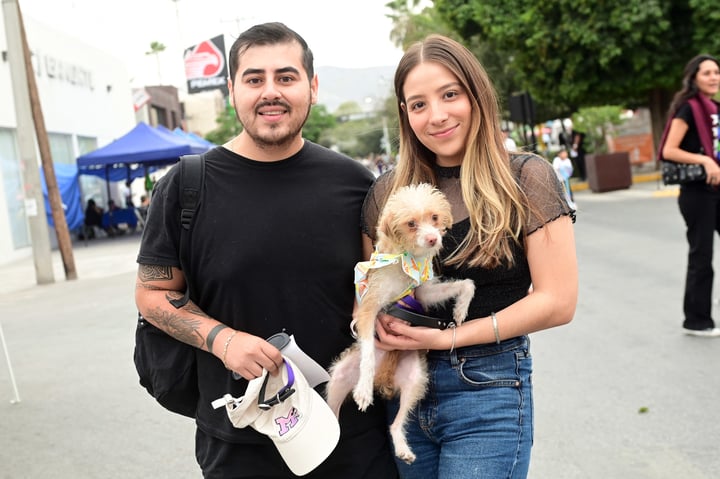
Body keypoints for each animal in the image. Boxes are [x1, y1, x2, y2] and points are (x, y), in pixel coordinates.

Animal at [324, 184, 472, 464]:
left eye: (434, 217)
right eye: (411, 223)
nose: (433, 239)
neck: (405, 260)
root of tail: (385, 375)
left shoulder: (422, 294)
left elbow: (466, 283)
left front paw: (460, 309)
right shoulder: (369, 309)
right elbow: (369, 351)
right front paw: (363, 390)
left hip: (415, 379)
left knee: (395, 424)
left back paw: (403, 448)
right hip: (339, 377)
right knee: (332, 417)